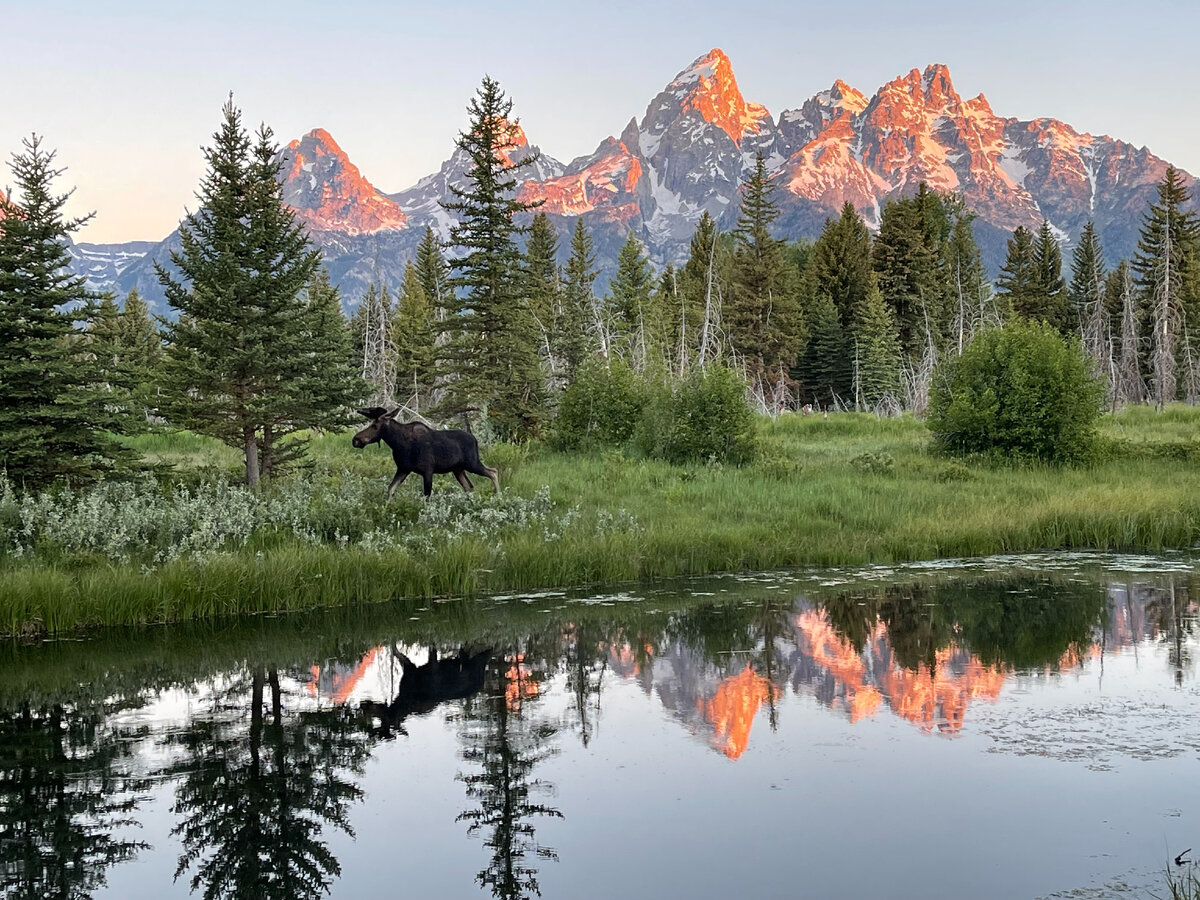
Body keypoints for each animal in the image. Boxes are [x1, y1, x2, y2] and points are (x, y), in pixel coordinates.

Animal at [350, 408, 499, 501]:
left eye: (375, 426)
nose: (356, 439)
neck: (398, 443)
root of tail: (475, 439)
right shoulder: (403, 469)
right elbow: (390, 489)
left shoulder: (427, 470)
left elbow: (426, 497)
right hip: (458, 469)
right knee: (469, 486)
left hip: (472, 463)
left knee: (493, 472)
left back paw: (499, 497)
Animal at [355, 648, 492, 739]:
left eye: (384, 720)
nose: (363, 705)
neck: (405, 700)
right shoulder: (410, 667)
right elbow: (397, 653)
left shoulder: (432, 666)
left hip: (473, 662)